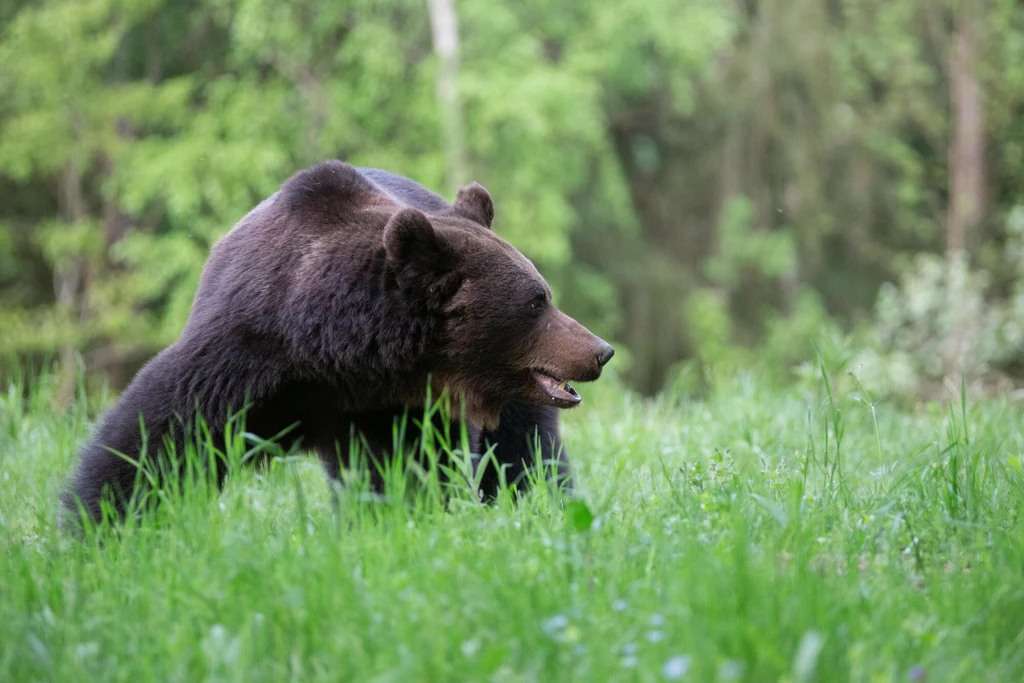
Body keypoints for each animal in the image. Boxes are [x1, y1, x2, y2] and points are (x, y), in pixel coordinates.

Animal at [61, 161, 614, 528]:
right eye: (537, 301)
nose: (600, 350)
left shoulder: (404, 408)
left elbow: (414, 468)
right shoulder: (244, 353)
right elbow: (157, 435)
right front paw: (101, 523)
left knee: (527, 452)